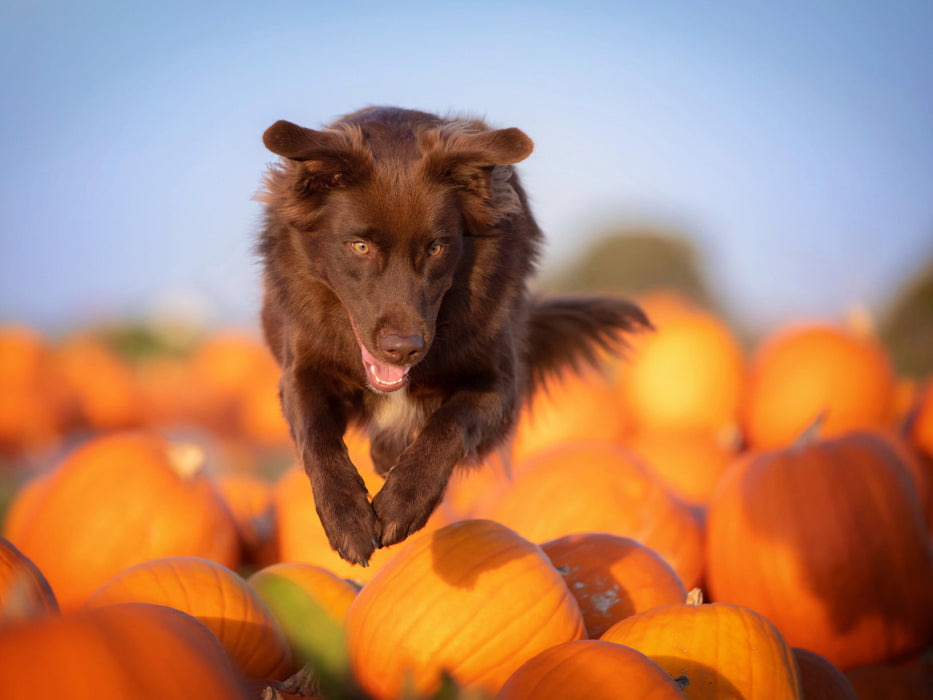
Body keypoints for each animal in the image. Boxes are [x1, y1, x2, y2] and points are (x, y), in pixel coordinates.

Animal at [255, 105, 648, 564]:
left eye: (436, 248)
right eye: (360, 246)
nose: (404, 350)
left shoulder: (500, 385)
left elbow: (449, 423)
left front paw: (403, 502)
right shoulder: (301, 370)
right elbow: (316, 435)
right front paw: (347, 518)